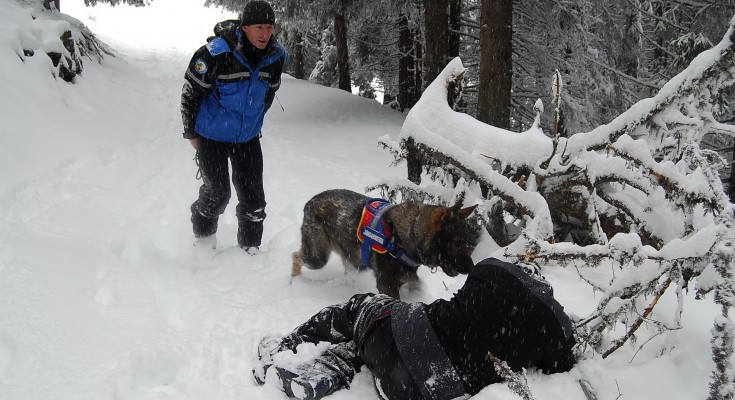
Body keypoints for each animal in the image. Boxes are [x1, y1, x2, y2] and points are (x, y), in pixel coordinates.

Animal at [290, 189, 480, 298]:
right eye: (457, 242)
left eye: (466, 241)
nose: (472, 268)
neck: (411, 233)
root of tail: (310, 201)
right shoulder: (386, 283)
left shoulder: (406, 278)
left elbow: (417, 285)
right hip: (317, 257)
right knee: (296, 256)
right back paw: (296, 282)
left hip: (352, 258)